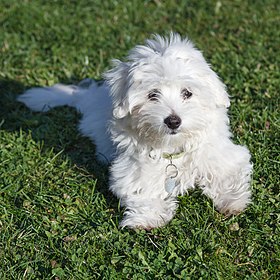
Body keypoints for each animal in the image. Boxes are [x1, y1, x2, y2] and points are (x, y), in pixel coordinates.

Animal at [18, 33, 253, 230]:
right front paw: (148, 218)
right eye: (152, 95)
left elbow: (227, 175)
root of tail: (88, 96)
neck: (172, 148)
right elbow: (142, 189)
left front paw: (232, 201)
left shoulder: (221, 155)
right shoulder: (134, 169)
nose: (173, 121)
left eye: (187, 93)